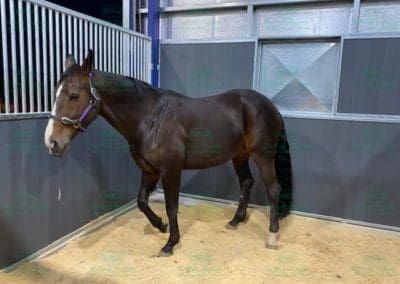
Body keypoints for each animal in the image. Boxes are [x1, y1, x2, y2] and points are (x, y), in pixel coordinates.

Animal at [44, 51, 294, 258]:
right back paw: (235, 221)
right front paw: (160, 225)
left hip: (263, 156)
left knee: (273, 189)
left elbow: (171, 206)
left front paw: (170, 243)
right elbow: (142, 201)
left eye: (74, 95)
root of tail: (269, 105)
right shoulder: (149, 170)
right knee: (246, 183)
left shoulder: (170, 171)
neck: (151, 119)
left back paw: (272, 236)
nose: (52, 142)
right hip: (239, 156)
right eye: (55, 94)